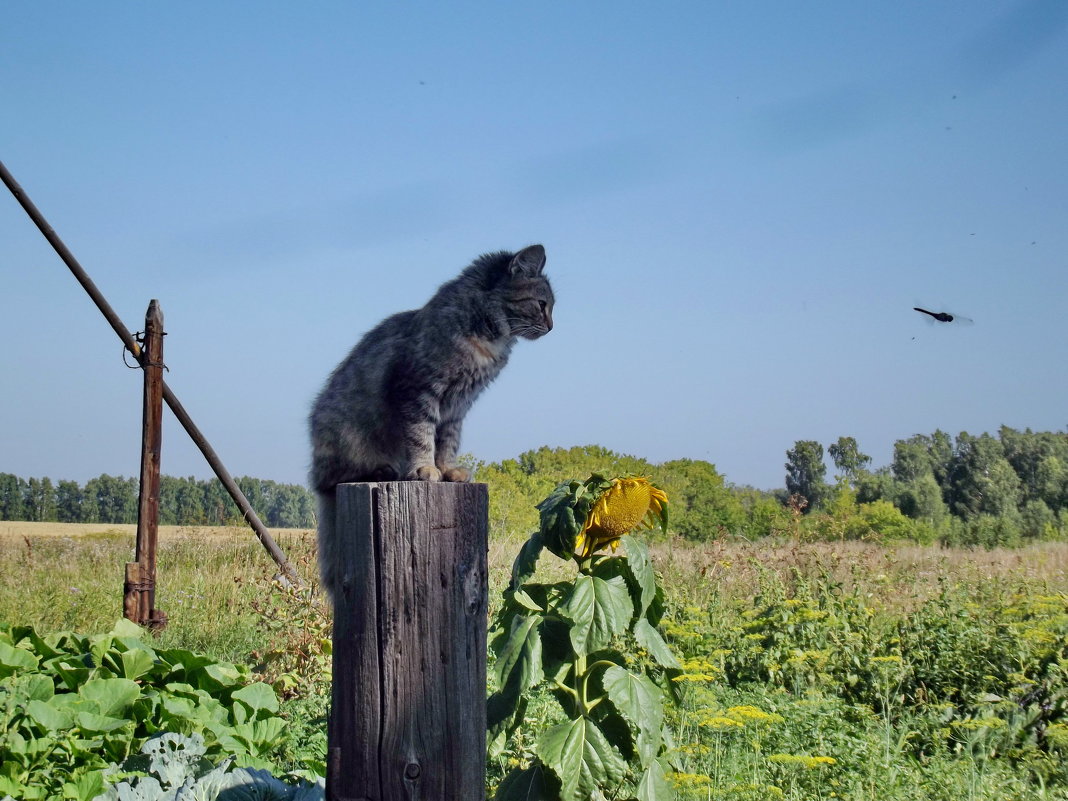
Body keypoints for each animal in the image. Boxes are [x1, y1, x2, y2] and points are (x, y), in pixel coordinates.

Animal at [309, 247, 555, 598]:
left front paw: (448, 469)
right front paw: (425, 468)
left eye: (550, 306)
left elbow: (447, 442)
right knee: (336, 475)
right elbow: (421, 435)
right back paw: (382, 470)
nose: (551, 326)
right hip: (345, 436)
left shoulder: (457, 407)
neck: (486, 338)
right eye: (541, 304)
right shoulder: (419, 391)